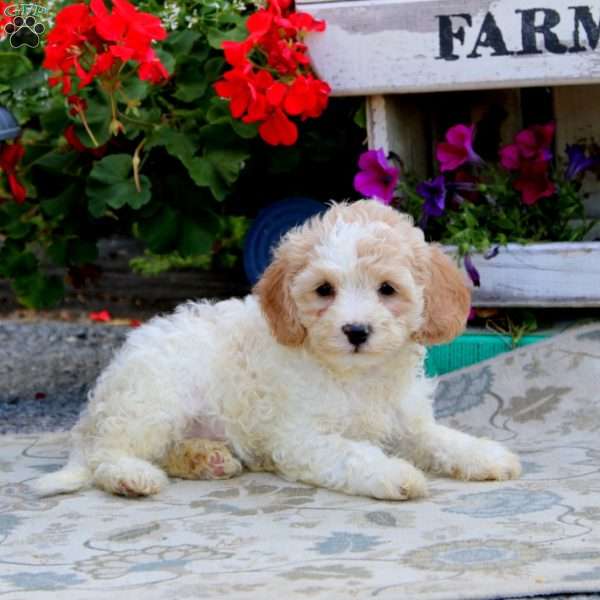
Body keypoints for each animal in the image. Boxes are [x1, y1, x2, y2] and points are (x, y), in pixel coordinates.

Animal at [34, 202, 520, 502]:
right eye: (324, 290)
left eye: (387, 289)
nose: (355, 331)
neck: (357, 376)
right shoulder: (302, 437)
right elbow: (356, 454)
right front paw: (394, 475)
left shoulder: (408, 422)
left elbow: (440, 438)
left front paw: (485, 456)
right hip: (154, 401)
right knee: (108, 455)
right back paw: (133, 477)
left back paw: (206, 459)